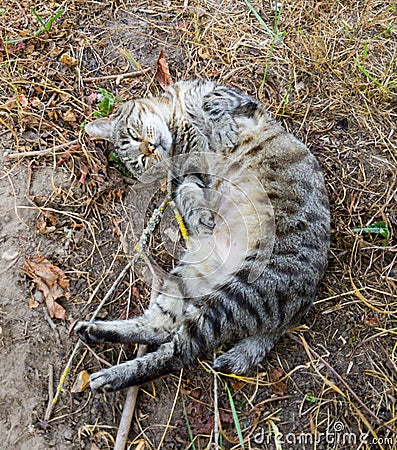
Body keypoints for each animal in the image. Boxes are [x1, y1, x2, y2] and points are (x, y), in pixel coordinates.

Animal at [76, 79, 330, 392]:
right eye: (141, 161)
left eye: (135, 137)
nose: (150, 147)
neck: (176, 121)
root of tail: (299, 309)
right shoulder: (190, 173)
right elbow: (187, 191)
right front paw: (199, 216)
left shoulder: (232, 96)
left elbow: (213, 100)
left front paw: (221, 129)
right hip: (216, 289)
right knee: (172, 343)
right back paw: (105, 356)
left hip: (238, 289)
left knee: (170, 338)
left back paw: (105, 357)